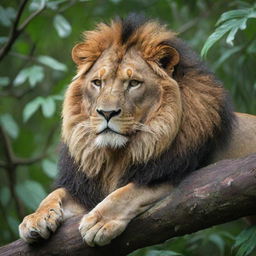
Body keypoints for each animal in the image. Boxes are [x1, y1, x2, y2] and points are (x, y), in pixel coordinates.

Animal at [19, 15, 256, 247]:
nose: (107, 113)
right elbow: (55, 193)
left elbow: (127, 192)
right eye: (97, 82)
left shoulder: (181, 177)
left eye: (133, 83)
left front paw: (99, 222)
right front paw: (35, 218)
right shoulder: (86, 190)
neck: (116, 155)